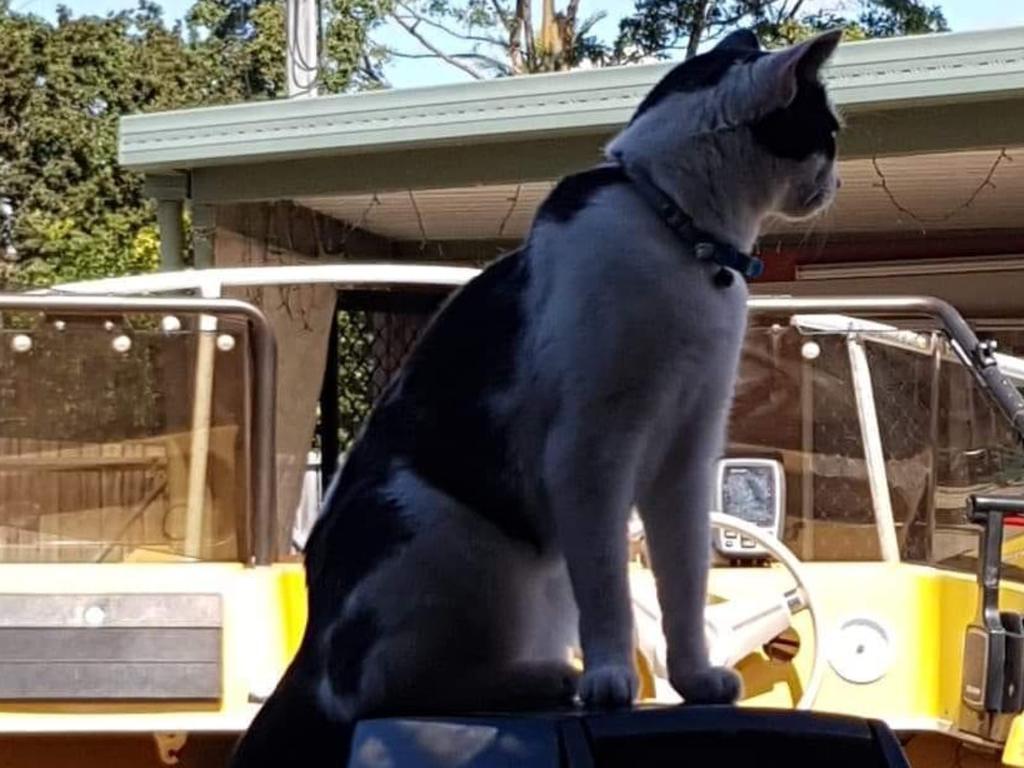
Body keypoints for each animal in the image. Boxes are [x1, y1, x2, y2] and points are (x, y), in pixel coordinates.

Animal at [230, 27, 839, 765]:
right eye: (829, 131)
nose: (837, 178)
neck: (679, 237)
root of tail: (309, 646)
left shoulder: (688, 454)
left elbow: (685, 578)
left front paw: (695, 677)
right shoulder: (591, 448)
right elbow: (609, 588)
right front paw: (611, 679)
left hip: (534, 584)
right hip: (444, 532)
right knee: (376, 689)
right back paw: (546, 679)